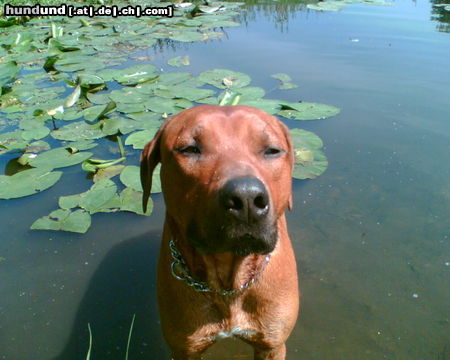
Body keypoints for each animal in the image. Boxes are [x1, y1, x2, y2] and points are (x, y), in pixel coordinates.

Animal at [142, 105, 298, 360]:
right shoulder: (184, 348)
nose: (246, 198)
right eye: (189, 149)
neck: (228, 285)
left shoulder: (272, 345)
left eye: (272, 150)